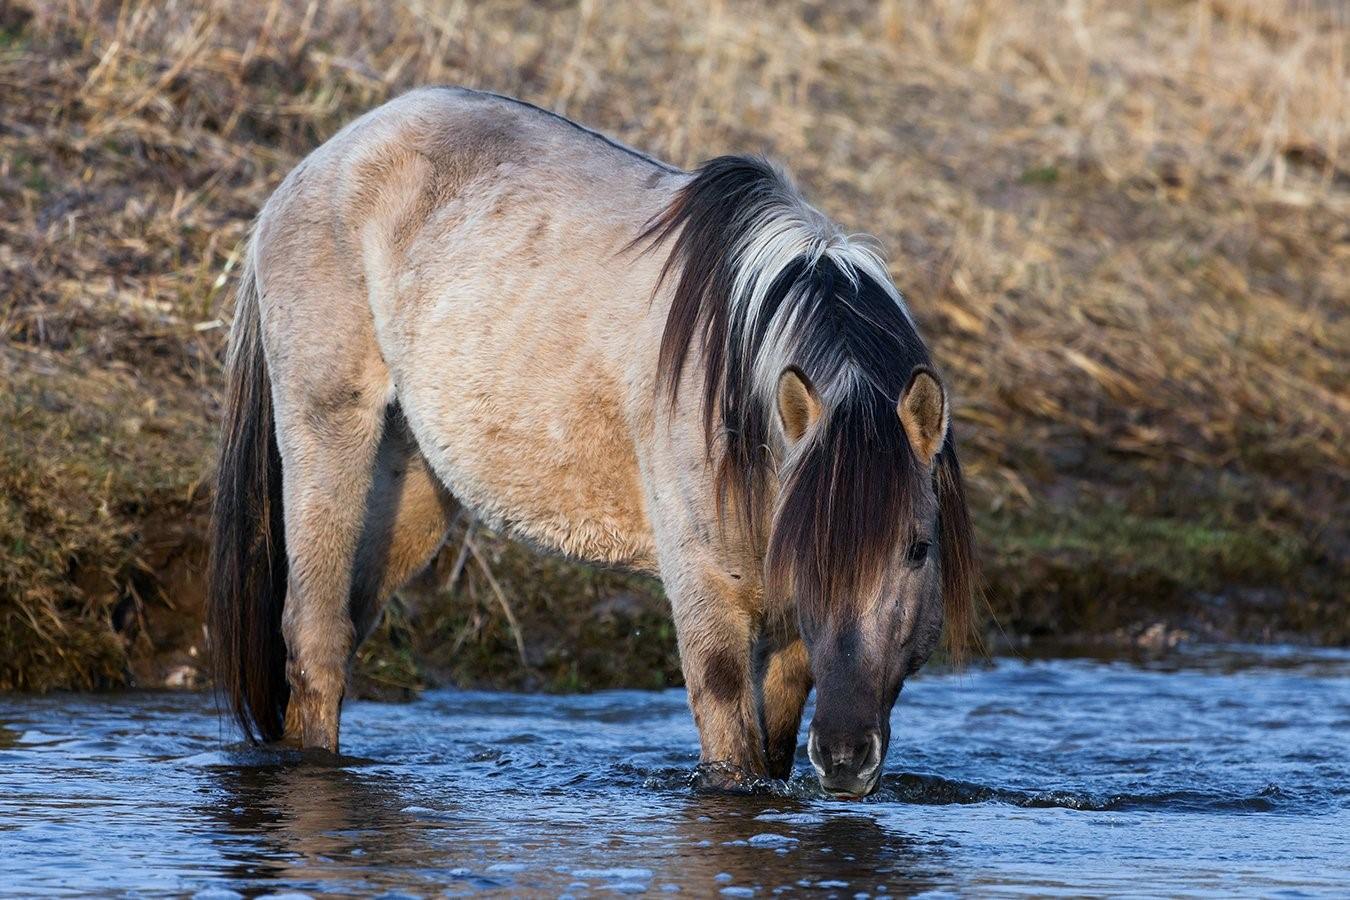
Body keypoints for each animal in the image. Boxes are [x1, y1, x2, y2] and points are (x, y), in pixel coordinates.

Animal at [205, 87, 977, 798]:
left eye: (917, 549)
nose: (845, 759)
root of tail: (314, 167)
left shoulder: (790, 633)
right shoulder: (706, 594)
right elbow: (731, 748)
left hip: (411, 486)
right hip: (327, 432)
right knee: (315, 638)